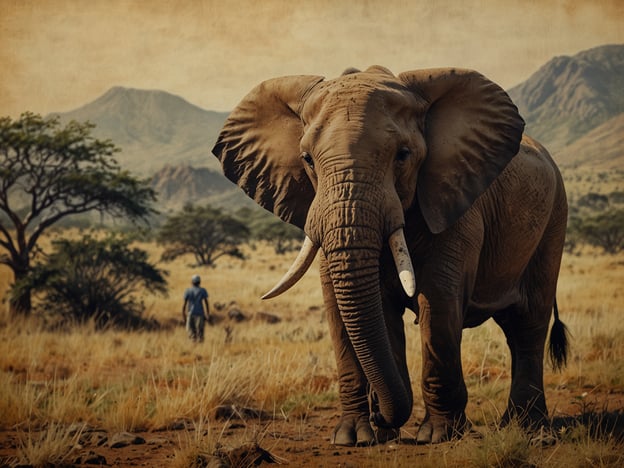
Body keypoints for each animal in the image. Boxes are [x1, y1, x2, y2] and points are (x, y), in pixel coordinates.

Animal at [212, 65, 568, 446]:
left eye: (403, 155)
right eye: (306, 159)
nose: (378, 412)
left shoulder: (452, 200)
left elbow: (438, 300)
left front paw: (438, 435)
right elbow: (346, 306)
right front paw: (356, 437)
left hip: (554, 218)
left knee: (528, 323)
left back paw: (527, 427)